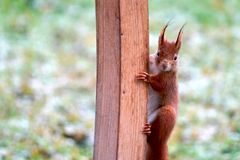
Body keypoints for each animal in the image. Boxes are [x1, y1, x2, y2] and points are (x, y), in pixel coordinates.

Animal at [137, 22, 184, 160]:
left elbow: (159, 85)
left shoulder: (168, 80)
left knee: (155, 138)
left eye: (175, 58)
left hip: (167, 115)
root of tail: (162, 144)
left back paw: (149, 132)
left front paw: (147, 77)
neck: (158, 69)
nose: (164, 65)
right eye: (158, 53)